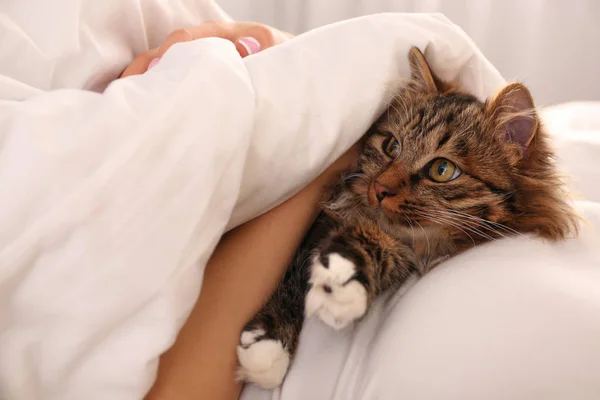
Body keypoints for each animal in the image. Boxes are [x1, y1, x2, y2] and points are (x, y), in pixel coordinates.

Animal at [234, 46, 576, 388]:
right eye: (391, 146)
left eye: (442, 170)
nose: (380, 188)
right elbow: (293, 274)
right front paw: (268, 346)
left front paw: (341, 279)